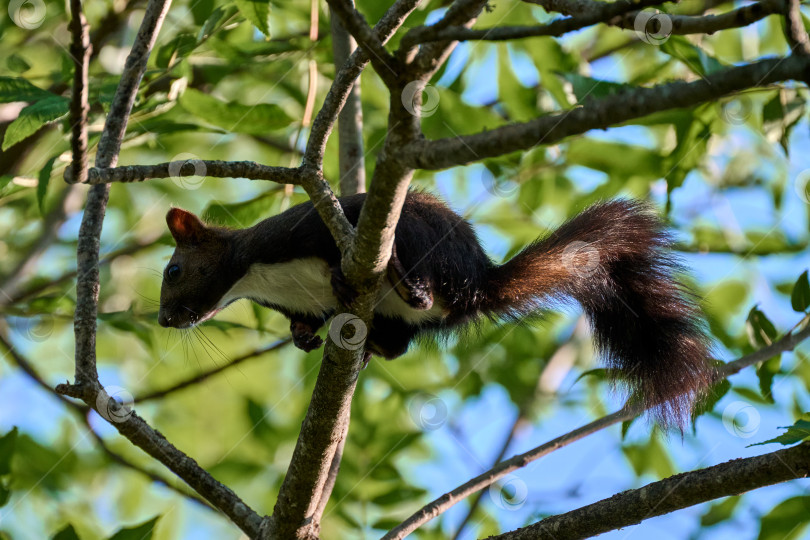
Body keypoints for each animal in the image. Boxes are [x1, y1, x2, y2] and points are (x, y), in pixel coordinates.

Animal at [159, 192, 712, 424]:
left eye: (173, 270)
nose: (164, 320)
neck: (255, 276)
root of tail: (477, 283)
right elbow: (306, 319)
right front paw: (301, 336)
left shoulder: (298, 232)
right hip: (409, 318)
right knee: (401, 344)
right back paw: (373, 344)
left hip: (417, 232)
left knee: (416, 283)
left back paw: (402, 282)